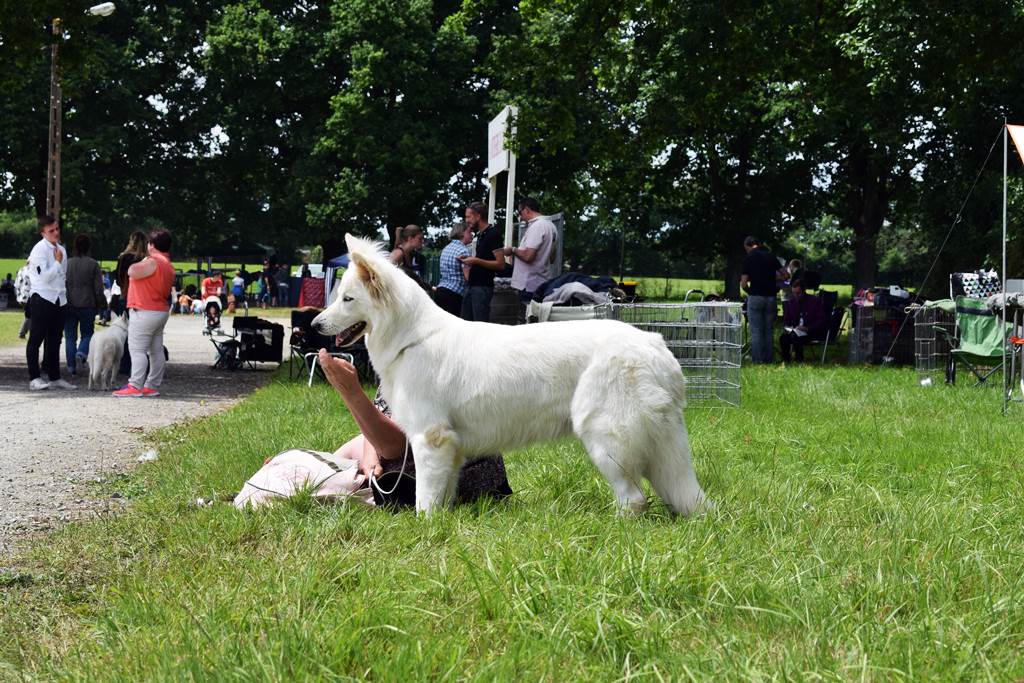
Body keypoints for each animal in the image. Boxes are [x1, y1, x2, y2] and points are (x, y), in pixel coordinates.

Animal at [311, 232, 712, 516]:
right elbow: (442, 497)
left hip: (605, 437)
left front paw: (423, 528)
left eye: (347, 299)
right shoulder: (450, 449)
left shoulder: (430, 439)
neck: (410, 339)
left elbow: (425, 500)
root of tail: (656, 346)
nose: (314, 325)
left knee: (634, 500)